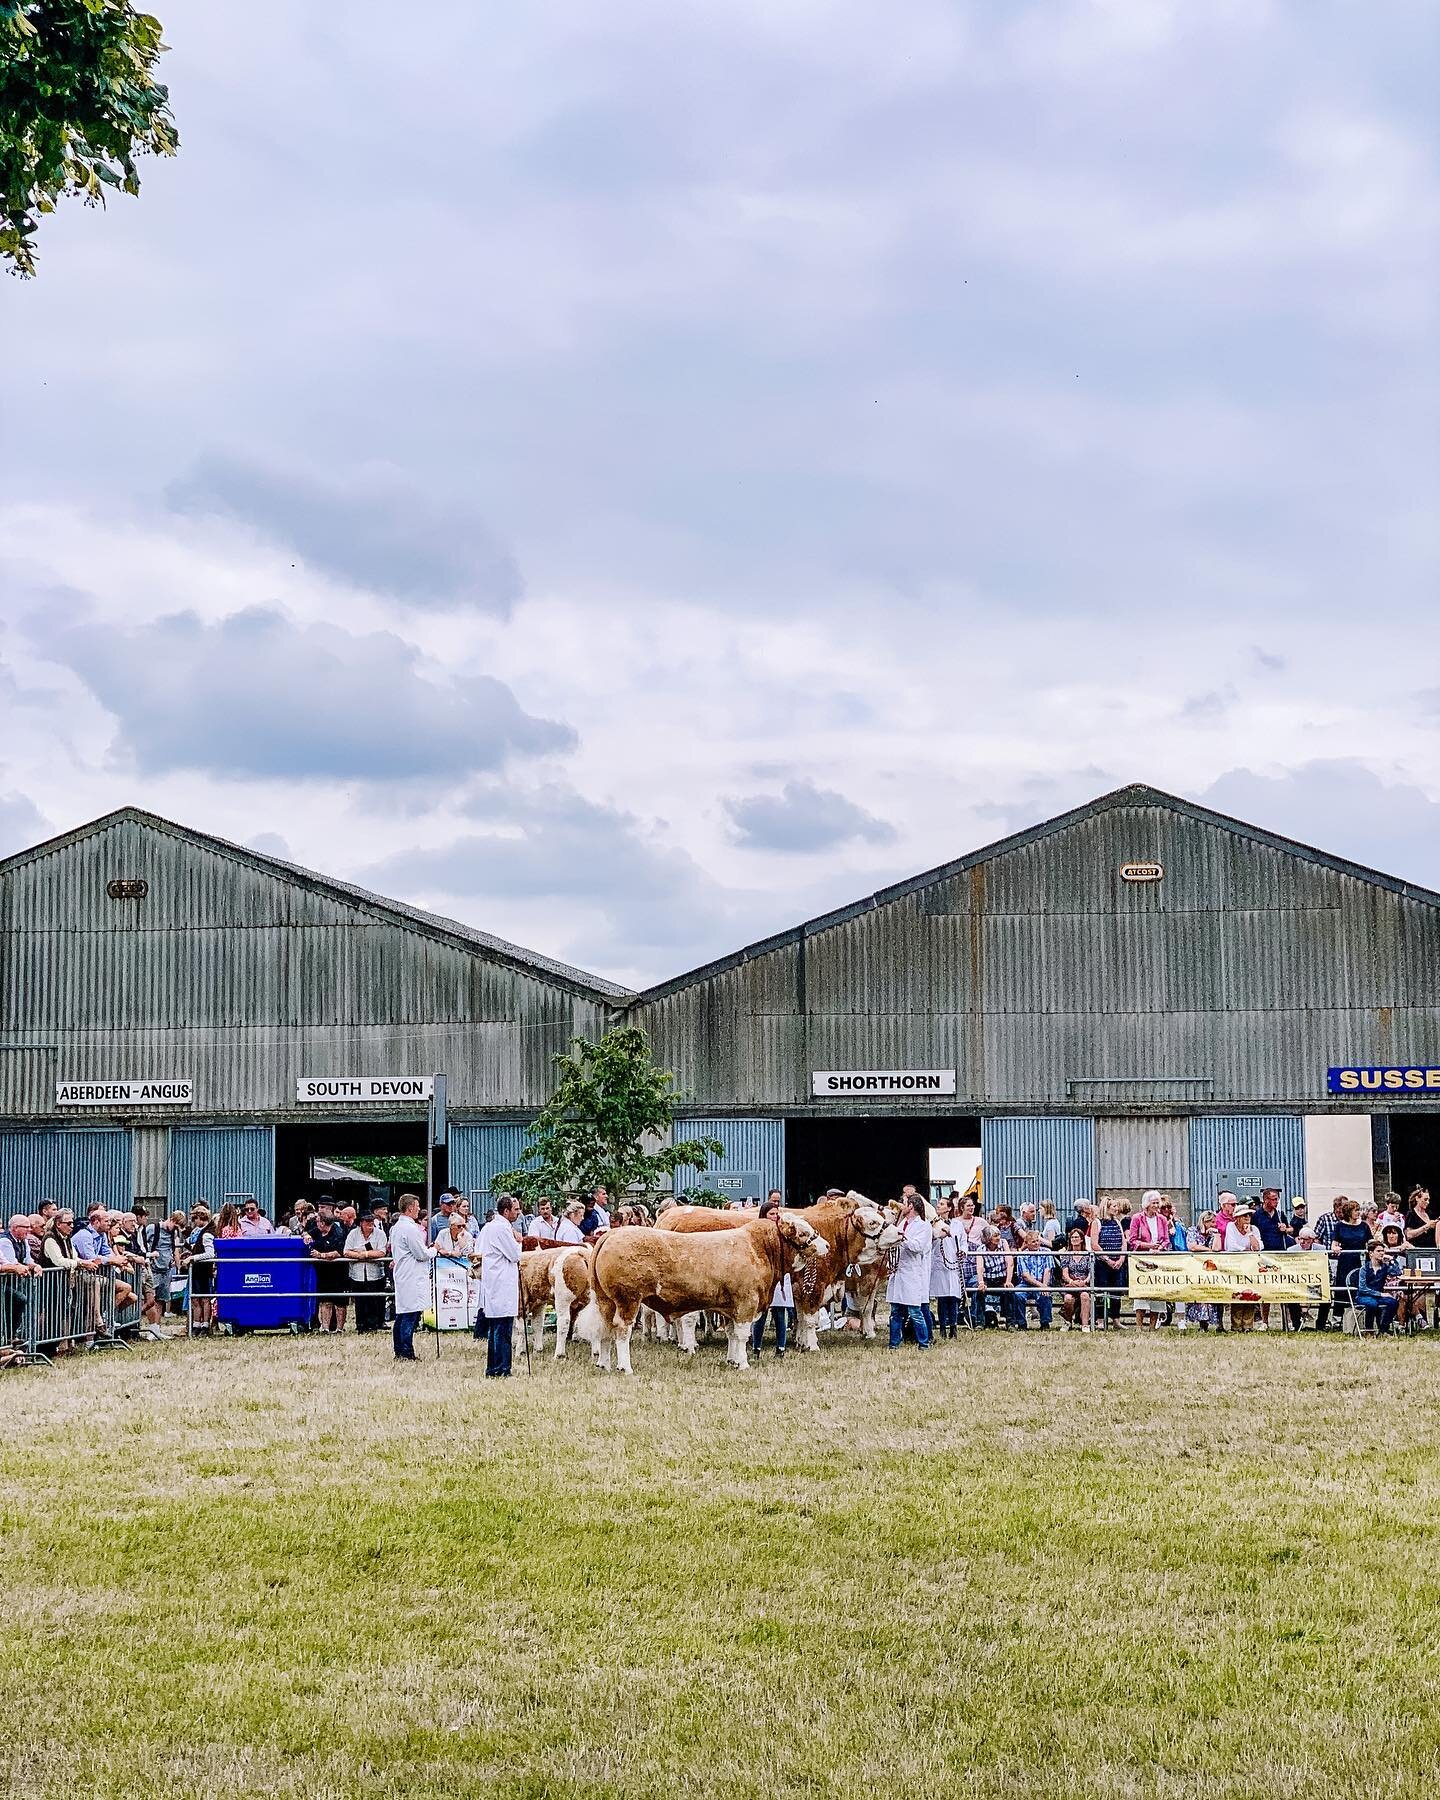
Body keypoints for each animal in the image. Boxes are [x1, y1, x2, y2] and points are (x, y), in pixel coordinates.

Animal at [583, 1209, 828, 1375]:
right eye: (803, 1232)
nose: (826, 1245)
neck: (758, 1249)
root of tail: (612, 1235)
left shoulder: (730, 1308)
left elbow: (731, 1334)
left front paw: (732, 1360)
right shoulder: (746, 1303)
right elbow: (742, 1335)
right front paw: (743, 1363)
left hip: (605, 1300)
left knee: (605, 1329)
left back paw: (604, 1363)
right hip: (628, 1299)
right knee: (622, 1330)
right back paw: (625, 1366)